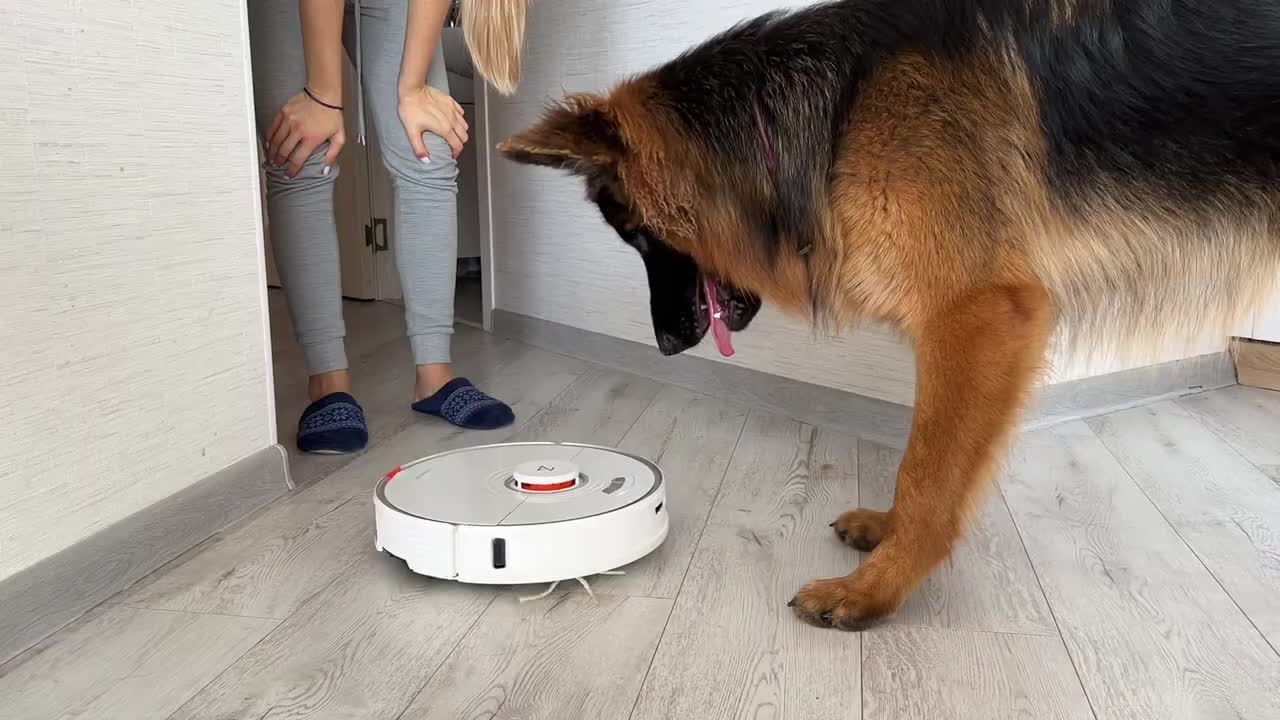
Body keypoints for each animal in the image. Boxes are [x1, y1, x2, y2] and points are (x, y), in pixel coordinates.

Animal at [494, 1, 1280, 627]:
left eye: (635, 233)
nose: (660, 343)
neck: (842, 111)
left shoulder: (979, 318)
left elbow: (928, 475)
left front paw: (874, 589)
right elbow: (925, 456)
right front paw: (886, 531)